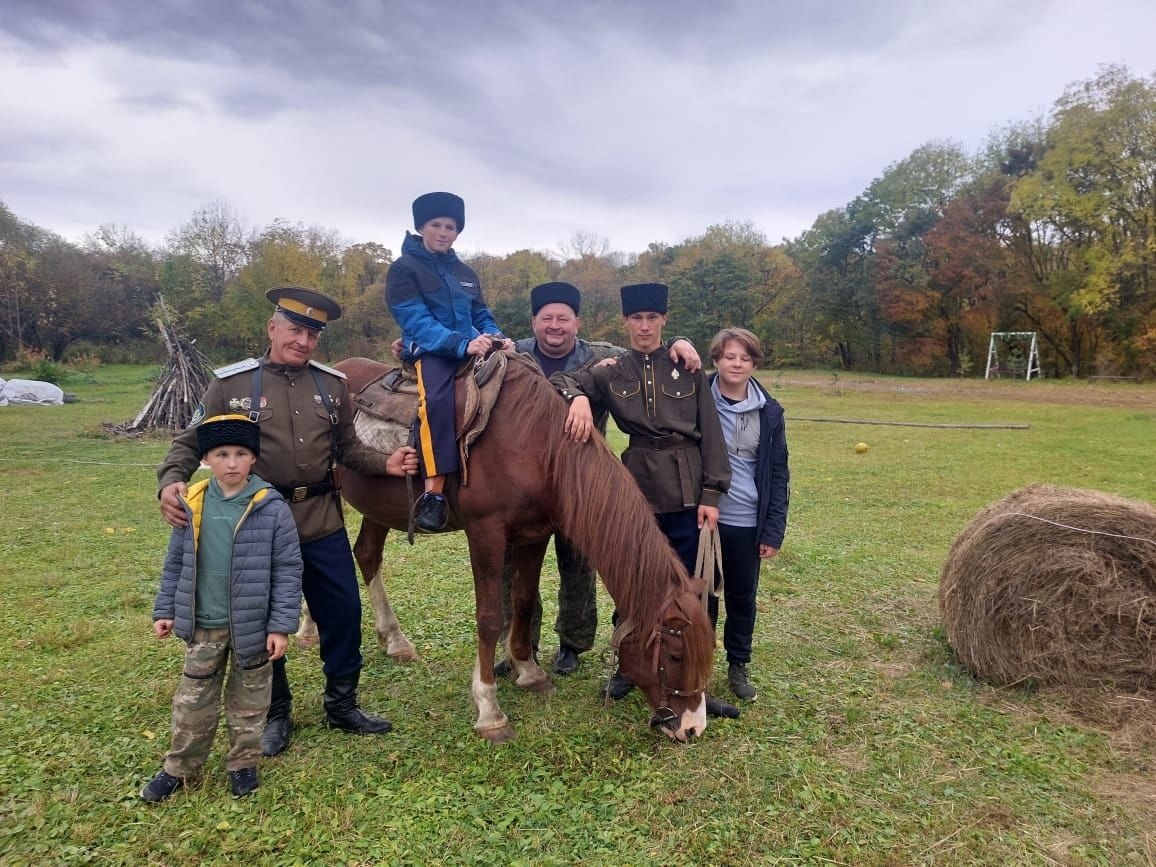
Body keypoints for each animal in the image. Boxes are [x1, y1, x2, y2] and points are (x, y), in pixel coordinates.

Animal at [335, 353, 712, 749]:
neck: (536, 444)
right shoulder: (485, 533)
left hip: (377, 507)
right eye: (675, 655)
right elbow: (489, 617)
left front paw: (529, 671)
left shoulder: (534, 533)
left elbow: (524, 602)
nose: (692, 727)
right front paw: (489, 710)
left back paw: (394, 641)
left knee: (367, 555)